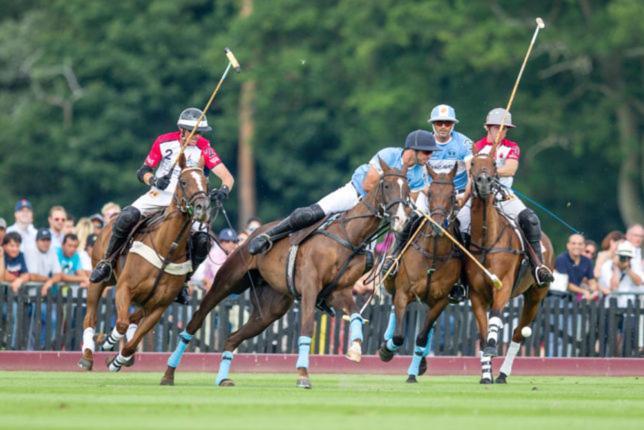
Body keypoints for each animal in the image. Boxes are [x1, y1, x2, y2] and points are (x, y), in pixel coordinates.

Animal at [77, 155, 209, 372]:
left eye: (207, 183)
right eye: (183, 181)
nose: (202, 208)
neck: (167, 249)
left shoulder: (159, 306)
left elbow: (132, 340)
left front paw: (116, 361)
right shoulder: (124, 287)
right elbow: (121, 324)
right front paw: (108, 343)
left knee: (132, 319)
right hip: (100, 279)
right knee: (91, 316)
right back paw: (87, 356)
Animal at [161, 160, 412, 388]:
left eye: (407, 188)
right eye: (387, 185)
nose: (401, 219)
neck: (349, 236)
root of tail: (248, 239)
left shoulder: (339, 291)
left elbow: (357, 315)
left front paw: (355, 349)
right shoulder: (310, 286)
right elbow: (308, 326)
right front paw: (303, 375)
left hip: (269, 310)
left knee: (232, 337)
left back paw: (222, 378)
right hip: (226, 282)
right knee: (195, 321)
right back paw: (169, 374)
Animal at [378, 165, 462, 382]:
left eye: (452, 195)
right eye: (430, 193)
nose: (438, 225)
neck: (433, 254)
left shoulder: (441, 300)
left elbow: (422, 337)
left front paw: (414, 372)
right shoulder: (403, 293)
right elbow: (399, 336)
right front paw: (386, 350)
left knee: (427, 330)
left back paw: (420, 363)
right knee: (393, 310)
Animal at [466, 147, 556, 382]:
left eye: (494, 163)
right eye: (472, 164)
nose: (484, 182)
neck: (487, 240)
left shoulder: (504, 285)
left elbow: (496, 317)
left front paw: (491, 351)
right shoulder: (476, 294)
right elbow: (482, 333)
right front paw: (485, 373)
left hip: (536, 294)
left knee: (518, 333)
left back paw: (503, 374)